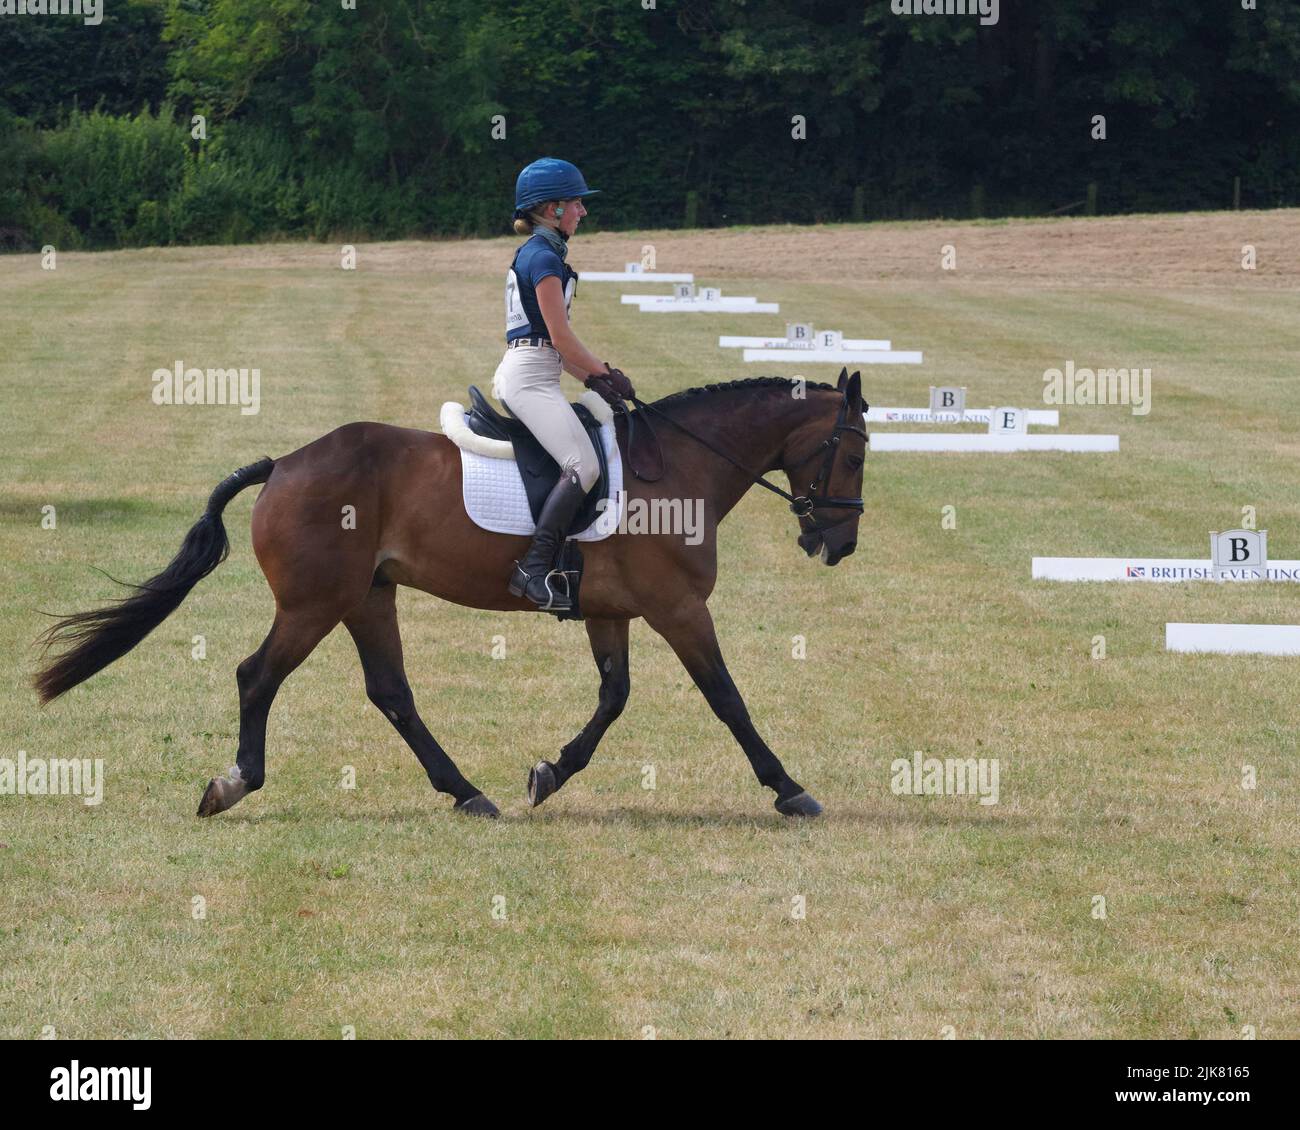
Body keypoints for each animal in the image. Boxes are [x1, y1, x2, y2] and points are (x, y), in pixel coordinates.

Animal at [32, 369, 863, 821]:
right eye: (854, 453)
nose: (840, 544)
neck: (680, 467)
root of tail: (284, 464)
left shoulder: (611, 611)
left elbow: (614, 698)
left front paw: (549, 773)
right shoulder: (679, 610)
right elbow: (727, 698)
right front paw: (789, 788)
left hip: (367, 598)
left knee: (391, 692)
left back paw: (464, 791)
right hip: (314, 605)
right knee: (257, 676)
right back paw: (234, 783)